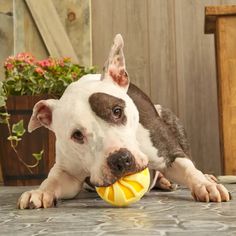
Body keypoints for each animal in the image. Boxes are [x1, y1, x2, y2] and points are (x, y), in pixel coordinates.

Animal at [17, 34, 230, 208]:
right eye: (77, 135)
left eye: (117, 111)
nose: (120, 159)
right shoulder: (67, 172)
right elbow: (52, 181)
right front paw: (39, 192)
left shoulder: (169, 154)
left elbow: (187, 168)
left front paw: (204, 184)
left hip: (168, 115)